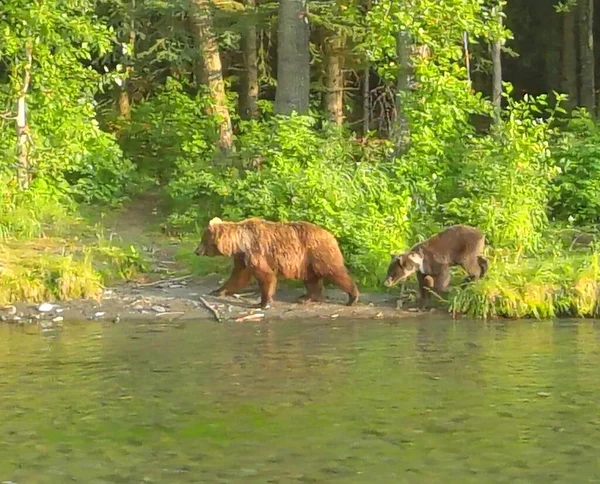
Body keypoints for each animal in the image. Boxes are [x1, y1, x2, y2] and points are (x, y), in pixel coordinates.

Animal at [195, 217, 358, 308]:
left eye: (203, 239)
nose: (196, 251)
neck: (240, 243)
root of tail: (331, 235)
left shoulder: (256, 252)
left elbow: (265, 276)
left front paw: (263, 302)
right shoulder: (242, 257)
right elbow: (238, 276)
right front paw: (218, 291)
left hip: (318, 252)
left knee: (334, 272)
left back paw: (352, 297)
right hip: (306, 262)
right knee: (311, 279)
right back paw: (306, 297)